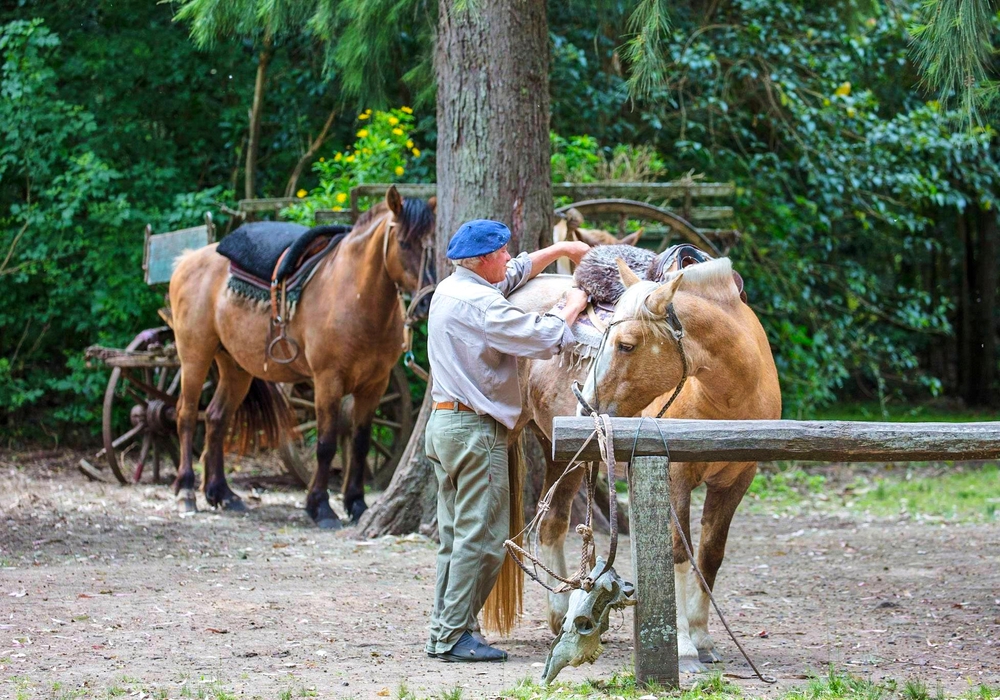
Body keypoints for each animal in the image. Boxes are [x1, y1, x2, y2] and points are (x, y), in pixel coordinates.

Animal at [168, 186, 434, 524]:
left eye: (433, 242)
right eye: (403, 243)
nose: (428, 300)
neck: (354, 295)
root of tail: (188, 259)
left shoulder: (375, 385)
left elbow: (360, 443)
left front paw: (357, 504)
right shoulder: (327, 381)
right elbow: (326, 443)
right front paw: (320, 506)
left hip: (235, 367)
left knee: (216, 418)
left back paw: (223, 494)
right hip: (195, 356)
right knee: (187, 416)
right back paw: (186, 492)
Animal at [484, 252, 780, 672]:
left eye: (626, 345)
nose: (584, 408)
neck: (730, 394)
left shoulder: (736, 481)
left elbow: (710, 557)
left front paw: (703, 638)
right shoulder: (674, 475)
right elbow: (677, 554)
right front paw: (684, 647)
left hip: (566, 456)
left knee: (552, 524)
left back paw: (561, 613)